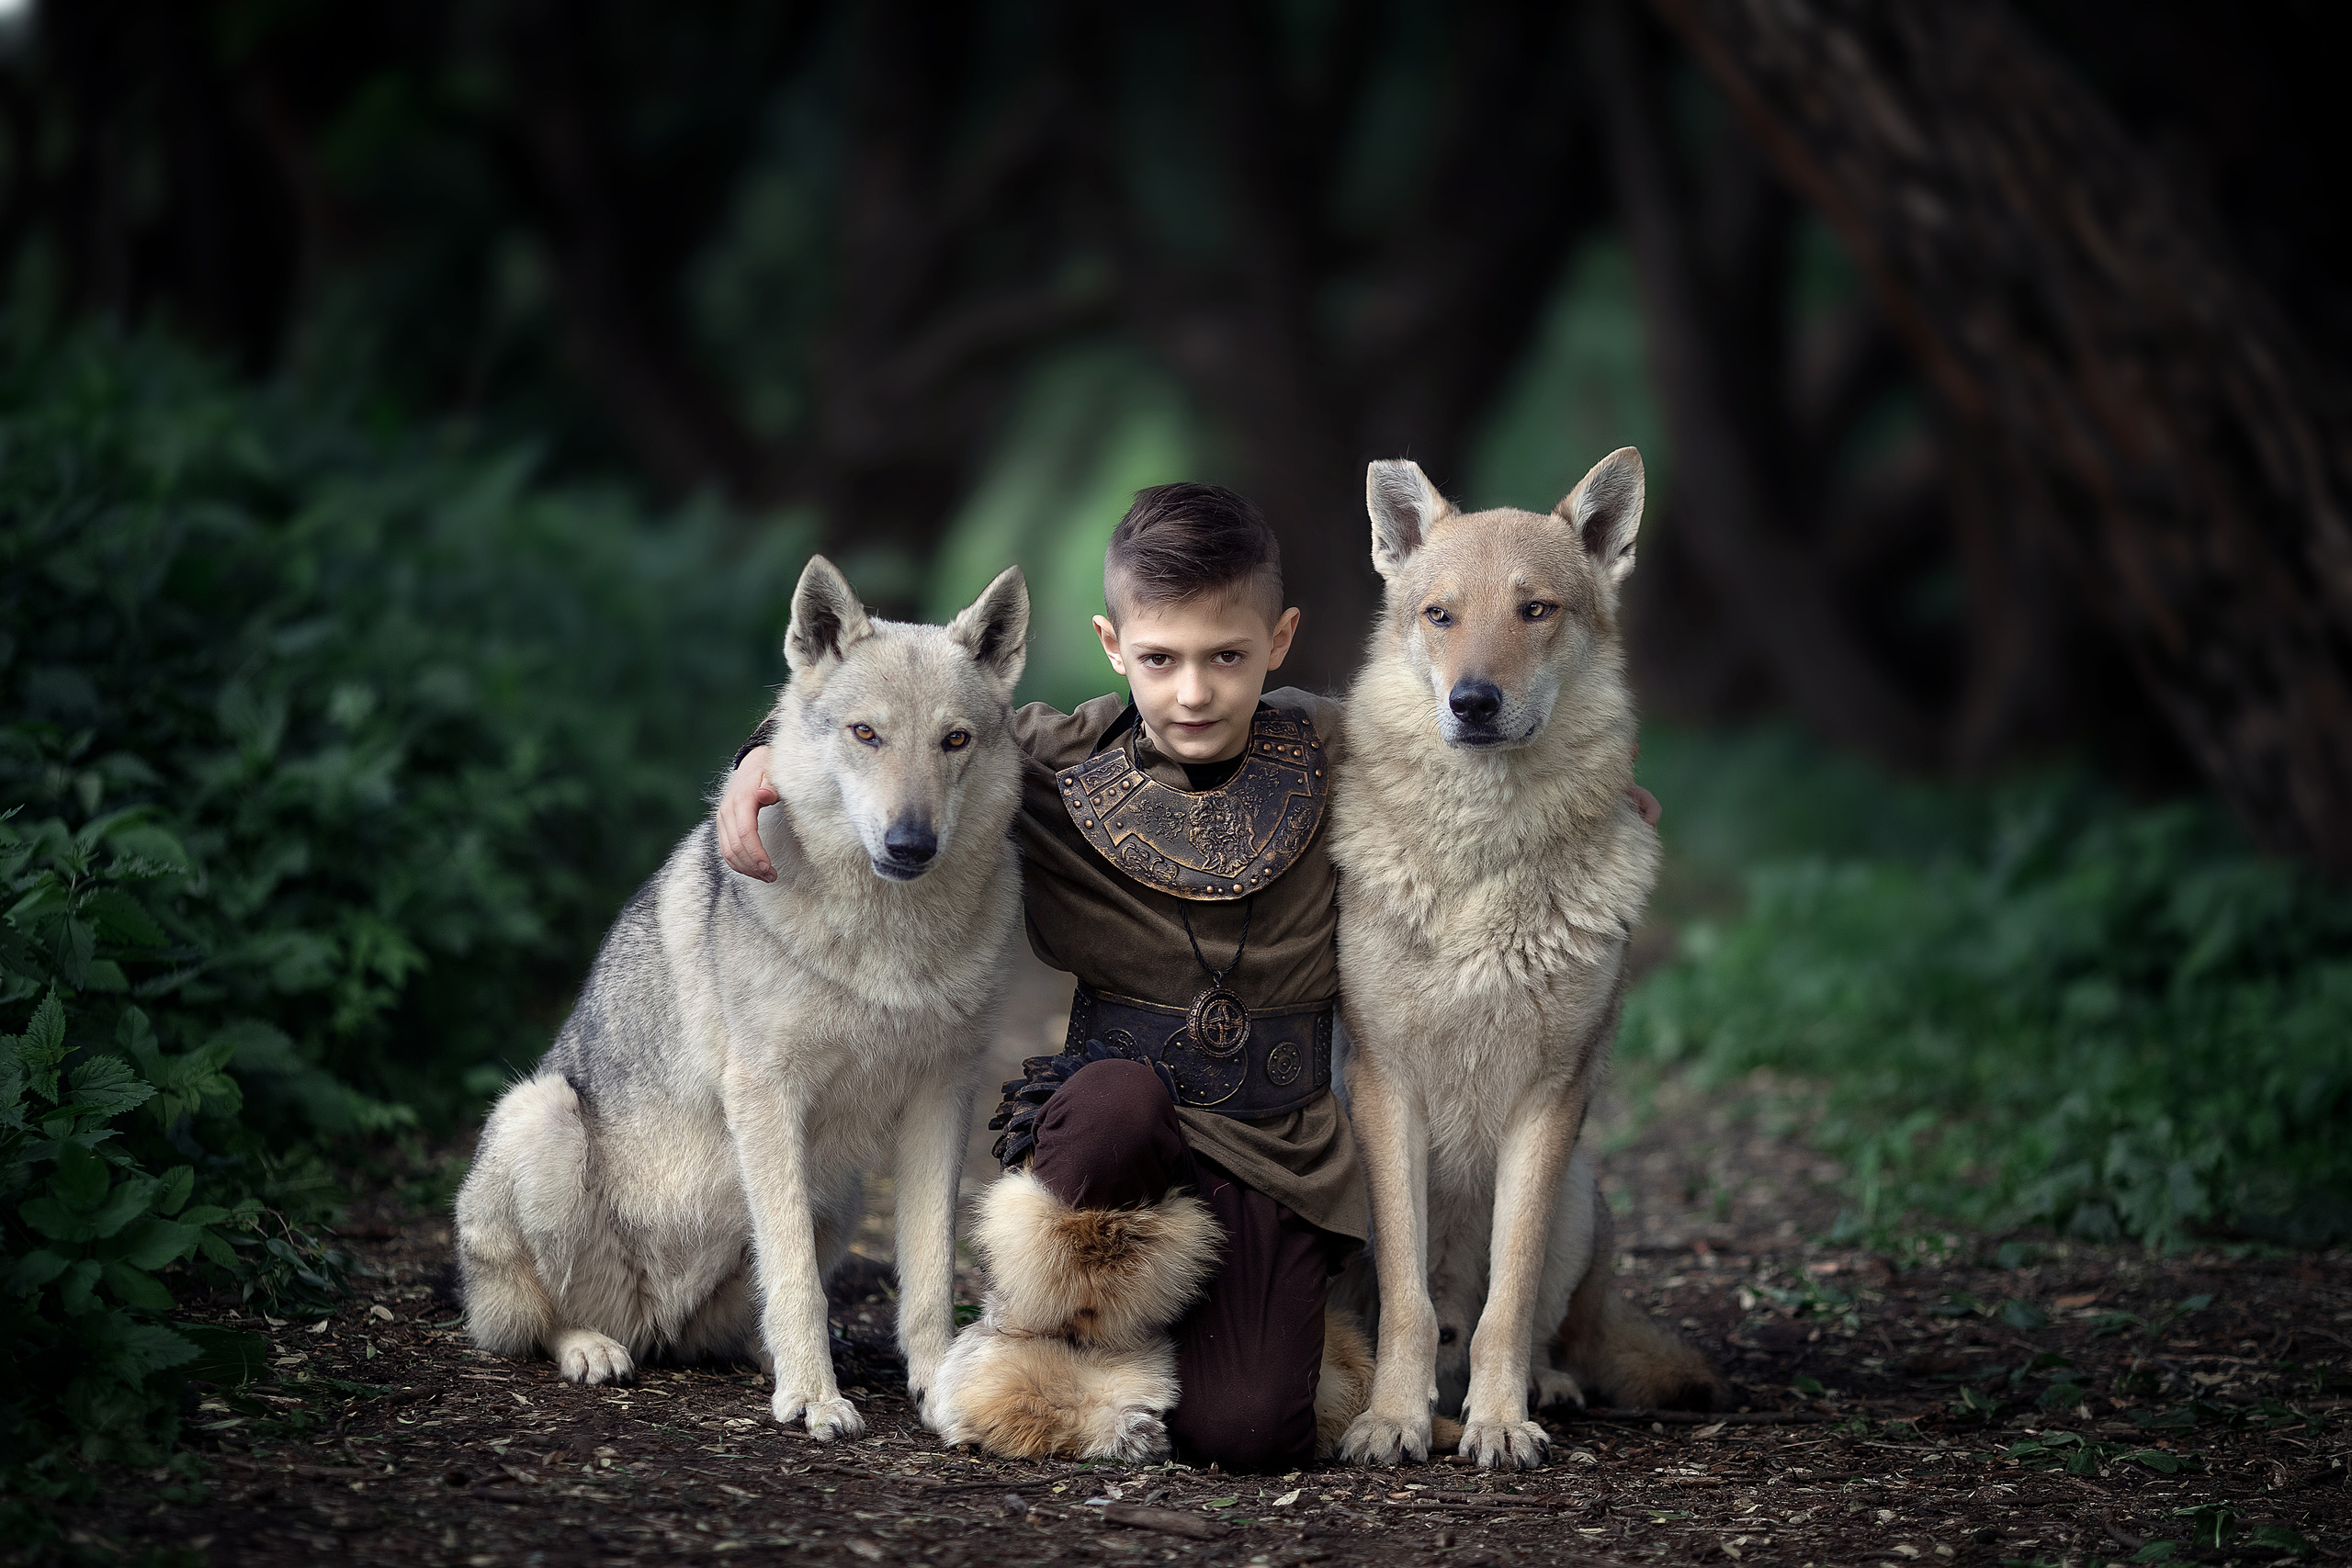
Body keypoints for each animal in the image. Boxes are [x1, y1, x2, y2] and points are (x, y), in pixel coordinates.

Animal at [453, 556, 1030, 1440]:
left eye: (954, 740)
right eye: (866, 734)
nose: (910, 843)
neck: (889, 940)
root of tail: (657, 1326)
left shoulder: (945, 1097)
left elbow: (929, 1277)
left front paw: (937, 1386)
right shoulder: (766, 1092)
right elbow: (794, 1274)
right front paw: (816, 1400)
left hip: (839, 1187)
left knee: (738, 1321)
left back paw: (767, 1357)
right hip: (540, 1115)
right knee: (542, 1318)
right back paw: (595, 1347)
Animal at [1329, 449, 1720, 1472]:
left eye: (1534, 610)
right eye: (1440, 614)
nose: (1473, 701)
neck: (1482, 859)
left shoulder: (1550, 1100)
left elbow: (1505, 1299)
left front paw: (1501, 1422)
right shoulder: (1387, 1088)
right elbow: (1410, 1301)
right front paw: (1391, 1418)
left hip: (1583, 1192)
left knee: (1550, 1329)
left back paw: (1542, 1386)